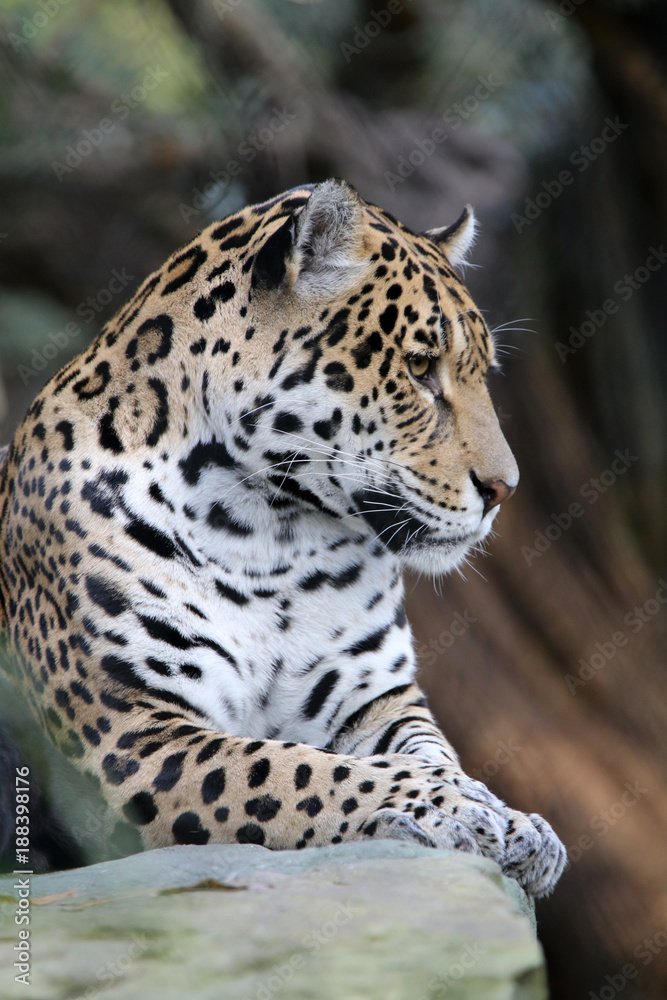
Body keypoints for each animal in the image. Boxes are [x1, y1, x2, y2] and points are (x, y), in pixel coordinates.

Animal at [0, 179, 566, 896]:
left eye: (480, 372)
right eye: (418, 368)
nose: (504, 490)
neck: (268, 534)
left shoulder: (374, 697)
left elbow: (428, 752)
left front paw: (509, 817)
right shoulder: (133, 734)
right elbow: (298, 770)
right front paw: (451, 808)